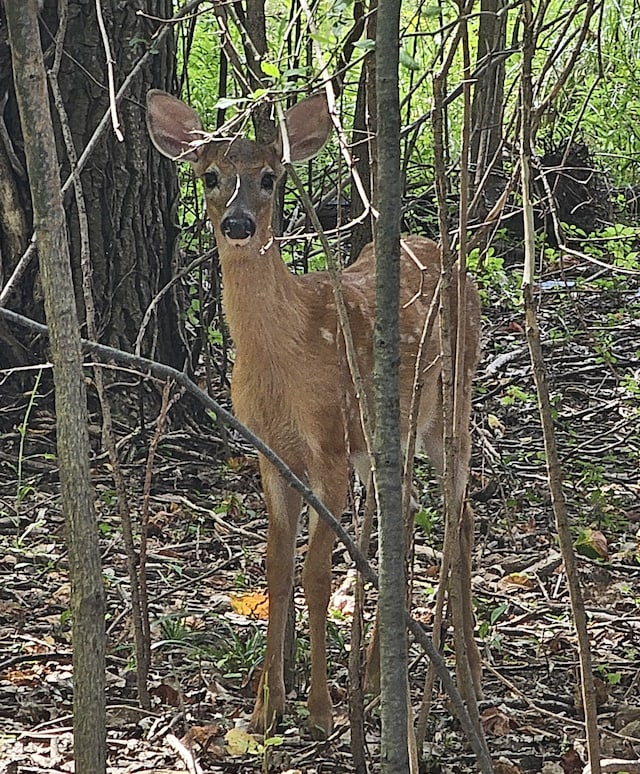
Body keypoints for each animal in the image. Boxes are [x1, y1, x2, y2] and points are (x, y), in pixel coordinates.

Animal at [146, 89, 480, 740]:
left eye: (270, 178)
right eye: (210, 176)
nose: (239, 224)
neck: (286, 356)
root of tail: (452, 259)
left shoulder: (327, 448)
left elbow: (316, 575)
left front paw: (322, 711)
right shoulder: (272, 453)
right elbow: (276, 570)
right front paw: (265, 707)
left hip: (451, 402)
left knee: (460, 513)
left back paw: (467, 680)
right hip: (383, 437)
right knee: (405, 516)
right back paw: (375, 677)